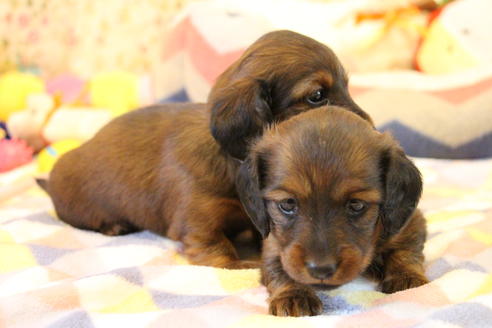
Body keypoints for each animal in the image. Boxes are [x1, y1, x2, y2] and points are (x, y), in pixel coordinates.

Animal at [236, 106, 428, 316]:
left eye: (356, 204)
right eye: (287, 203)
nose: (321, 270)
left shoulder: (410, 223)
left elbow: (406, 250)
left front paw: (406, 277)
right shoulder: (273, 243)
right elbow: (279, 266)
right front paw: (293, 294)